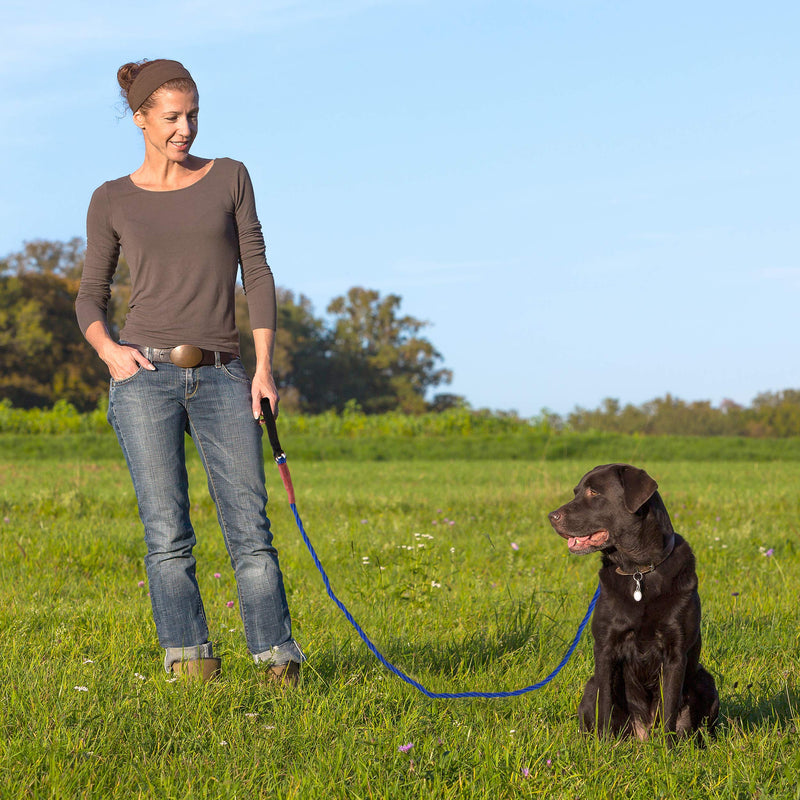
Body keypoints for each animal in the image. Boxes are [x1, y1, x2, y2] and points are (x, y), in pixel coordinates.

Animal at [548, 466, 720, 740]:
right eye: (576, 491)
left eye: (594, 492)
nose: (551, 516)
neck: (639, 571)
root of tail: (642, 733)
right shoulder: (605, 648)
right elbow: (605, 707)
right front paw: (604, 746)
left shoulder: (675, 653)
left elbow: (669, 709)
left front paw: (667, 749)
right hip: (590, 686)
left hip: (706, 681)